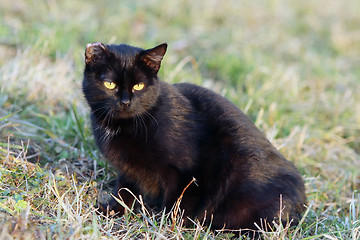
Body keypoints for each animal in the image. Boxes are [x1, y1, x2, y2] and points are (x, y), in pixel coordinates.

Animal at [82, 42, 306, 231]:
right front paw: (111, 211)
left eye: (139, 86)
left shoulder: (187, 172)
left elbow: (180, 201)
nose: (125, 102)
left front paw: (169, 225)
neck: (124, 125)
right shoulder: (129, 170)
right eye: (110, 84)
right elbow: (124, 191)